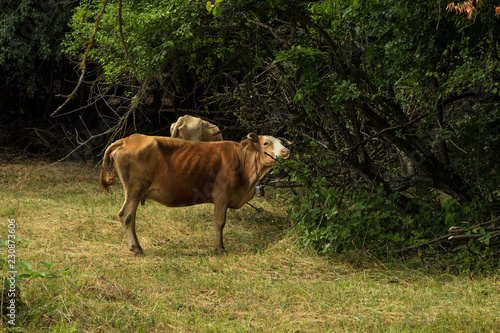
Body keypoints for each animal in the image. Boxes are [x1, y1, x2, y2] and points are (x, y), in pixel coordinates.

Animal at [99, 132, 292, 254]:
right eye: (266, 143)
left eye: (282, 143)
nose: (286, 151)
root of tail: (128, 139)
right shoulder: (221, 194)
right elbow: (219, 222)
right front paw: (220, 248)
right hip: (135, 189)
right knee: (126, 215)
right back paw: (137, 248)